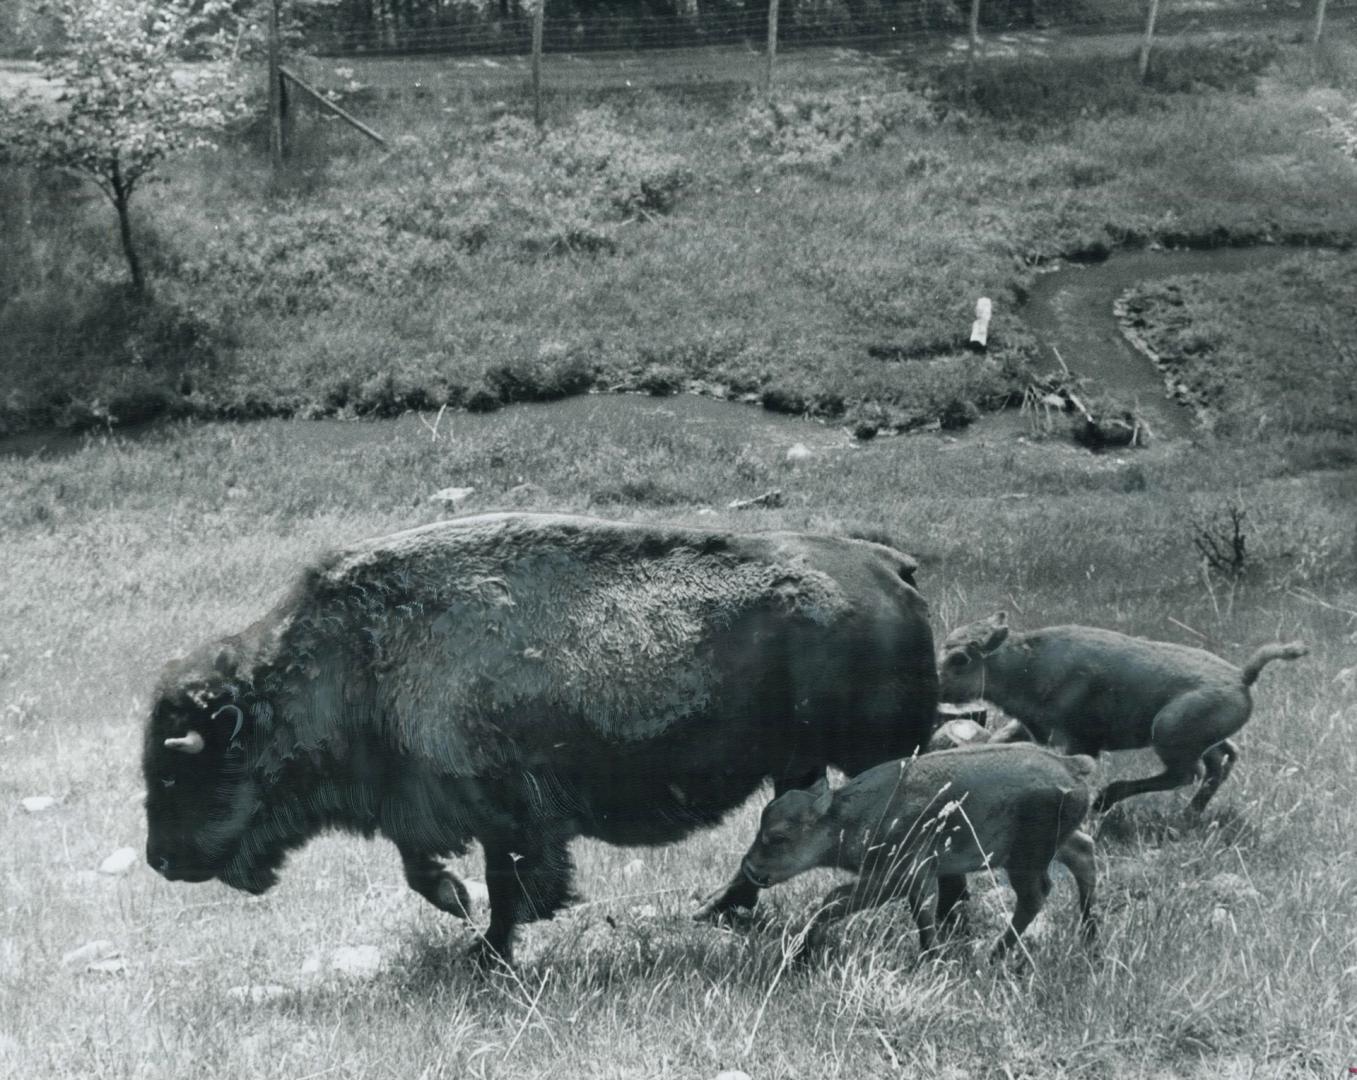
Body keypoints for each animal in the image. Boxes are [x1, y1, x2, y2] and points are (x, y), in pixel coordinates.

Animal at [143, 512, 939, 960]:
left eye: (178, 770)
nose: (158, 860)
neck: (349, 660)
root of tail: (891, 567)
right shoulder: (435, 808)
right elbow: (426, 869)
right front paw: (465, 915)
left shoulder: (508, 814)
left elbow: (509, 883)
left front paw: (488, 951)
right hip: (797, 766)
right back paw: (715, 911)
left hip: (874, 755)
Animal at [738, 743, 1096, 960]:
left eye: (778, 836)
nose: (750, 868)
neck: (845, 816)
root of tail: (1071, 766)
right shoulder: (909, 879)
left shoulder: (900, 876)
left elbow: (838, 900)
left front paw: (930, 956)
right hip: (1055, 846)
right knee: (1084, 854)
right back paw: (1090, 935)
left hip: (1024, 860)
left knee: (1035, 896)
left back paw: (993, 955)